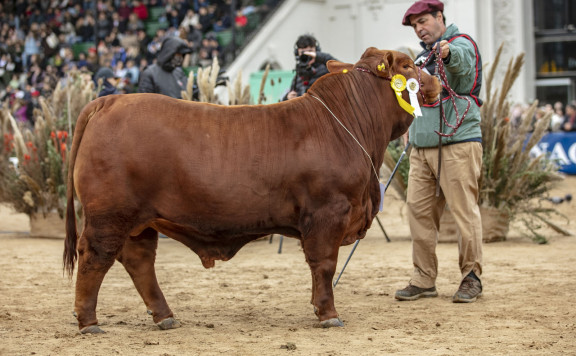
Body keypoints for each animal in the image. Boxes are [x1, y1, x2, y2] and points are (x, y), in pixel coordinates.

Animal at [64, 47, 440, 334]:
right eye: (408, 66)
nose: (436, 80)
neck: (348, 126)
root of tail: (109, 101)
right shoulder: (327, 214)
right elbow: (324, 265)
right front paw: (328, 314)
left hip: (141, 221)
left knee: (139, 261)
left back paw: (165, 316)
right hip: (110, 215)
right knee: (95, 256)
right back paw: (88, 322)